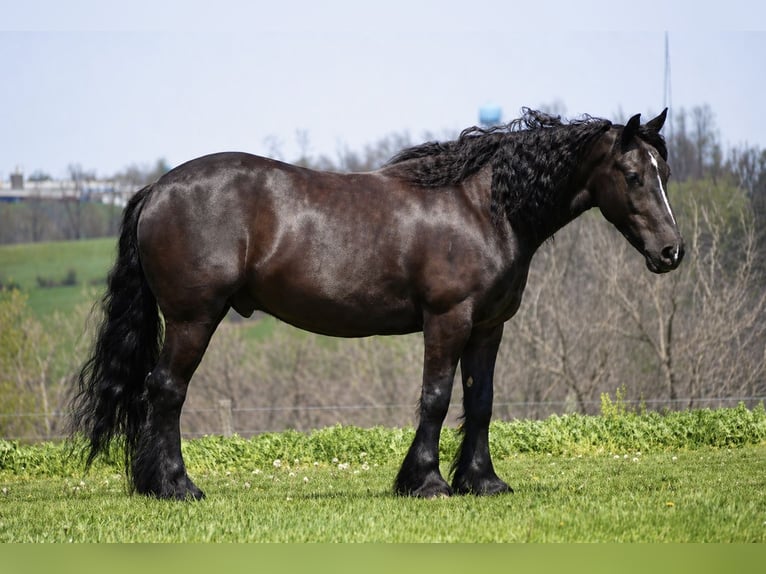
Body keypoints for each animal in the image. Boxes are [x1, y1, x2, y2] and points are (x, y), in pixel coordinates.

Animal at [71, 108, 683, 500]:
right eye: (633, 175)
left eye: (665, 173)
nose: (671, 252)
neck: (482, 207)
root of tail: (157, 188)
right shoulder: (447, 320)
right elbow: (435, 398)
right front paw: (427, 482)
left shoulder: (489, 327)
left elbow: (481, 400)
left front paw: (482, 482)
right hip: (193, 319)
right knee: (167, 391)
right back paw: (176, 487)